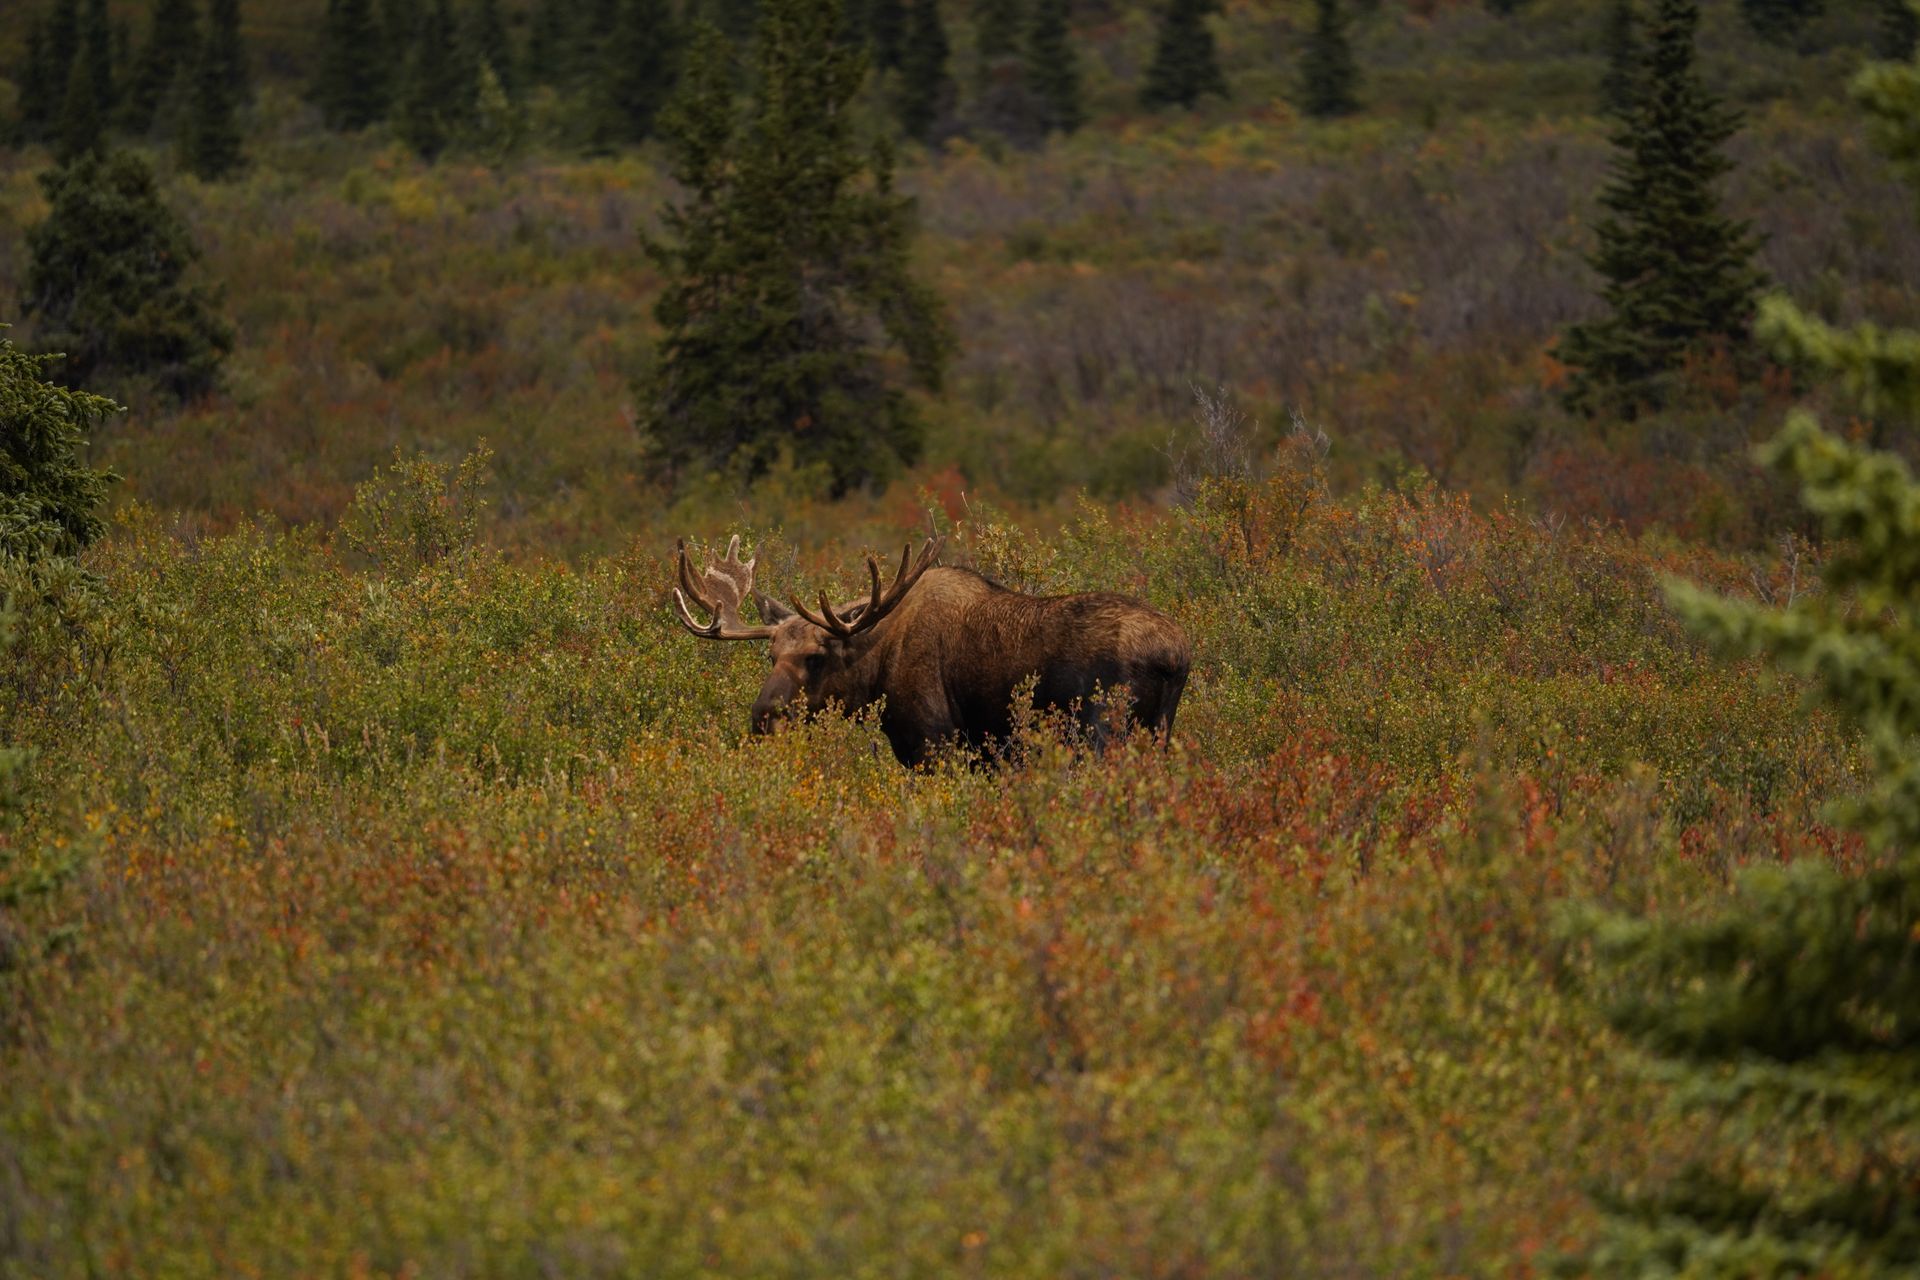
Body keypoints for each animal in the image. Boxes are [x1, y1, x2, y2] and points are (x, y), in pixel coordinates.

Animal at [670, 534, 1191, 767]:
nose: (762, 717)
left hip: (1105, 733)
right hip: (1158, 734)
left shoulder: (933, 743)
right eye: (771, 654)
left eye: (816, 657)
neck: (876, 669)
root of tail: (1175, 656)